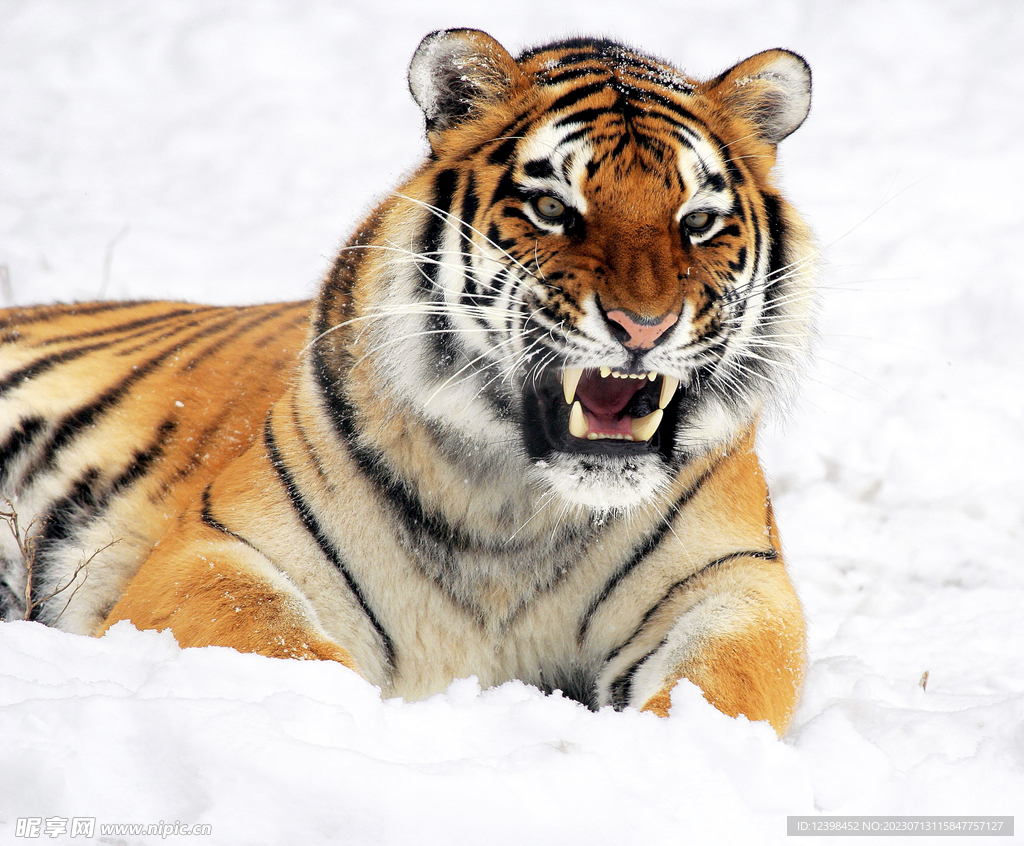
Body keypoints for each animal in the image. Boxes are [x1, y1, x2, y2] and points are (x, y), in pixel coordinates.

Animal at [0, 29, 816, 735]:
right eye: (552, 208)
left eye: (697, 221)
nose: (643, 328)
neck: (518, 509)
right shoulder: (216, 549)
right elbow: (278, 643)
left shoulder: (736, 582)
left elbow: (725, 683)